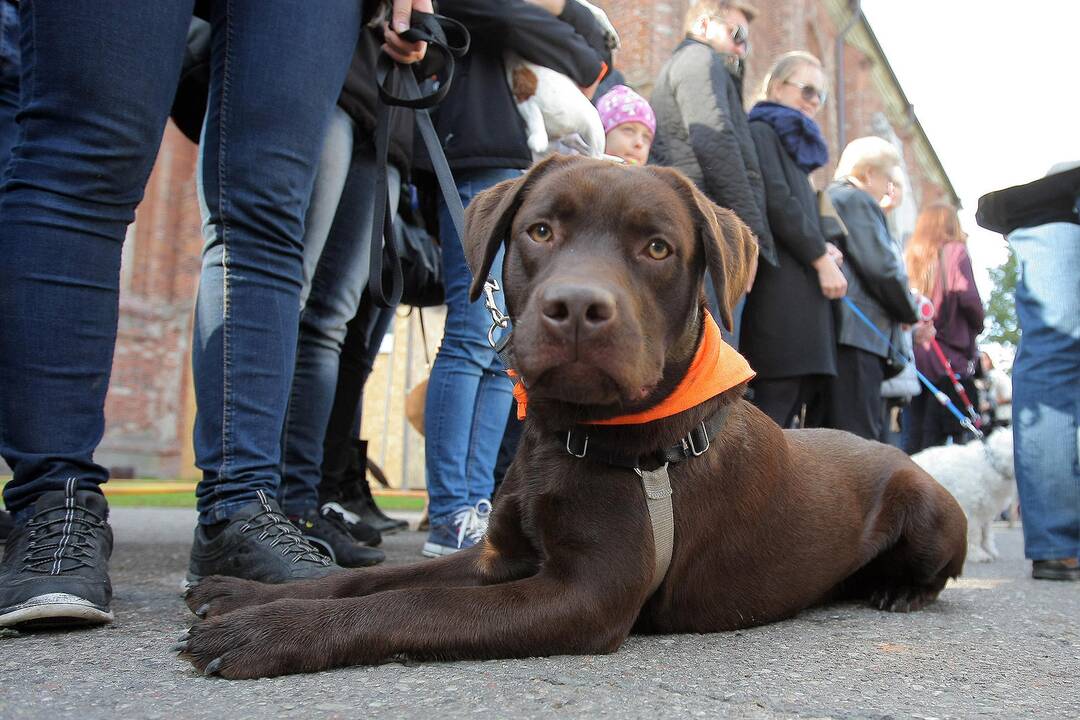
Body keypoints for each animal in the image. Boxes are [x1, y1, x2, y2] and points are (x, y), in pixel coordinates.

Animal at [907, 433, 1015, 561]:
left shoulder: (987, 510)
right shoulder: (971, 512)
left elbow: (986, 533)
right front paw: (977, 554)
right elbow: (974, 534)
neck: (991, 463)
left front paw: (989, 549)